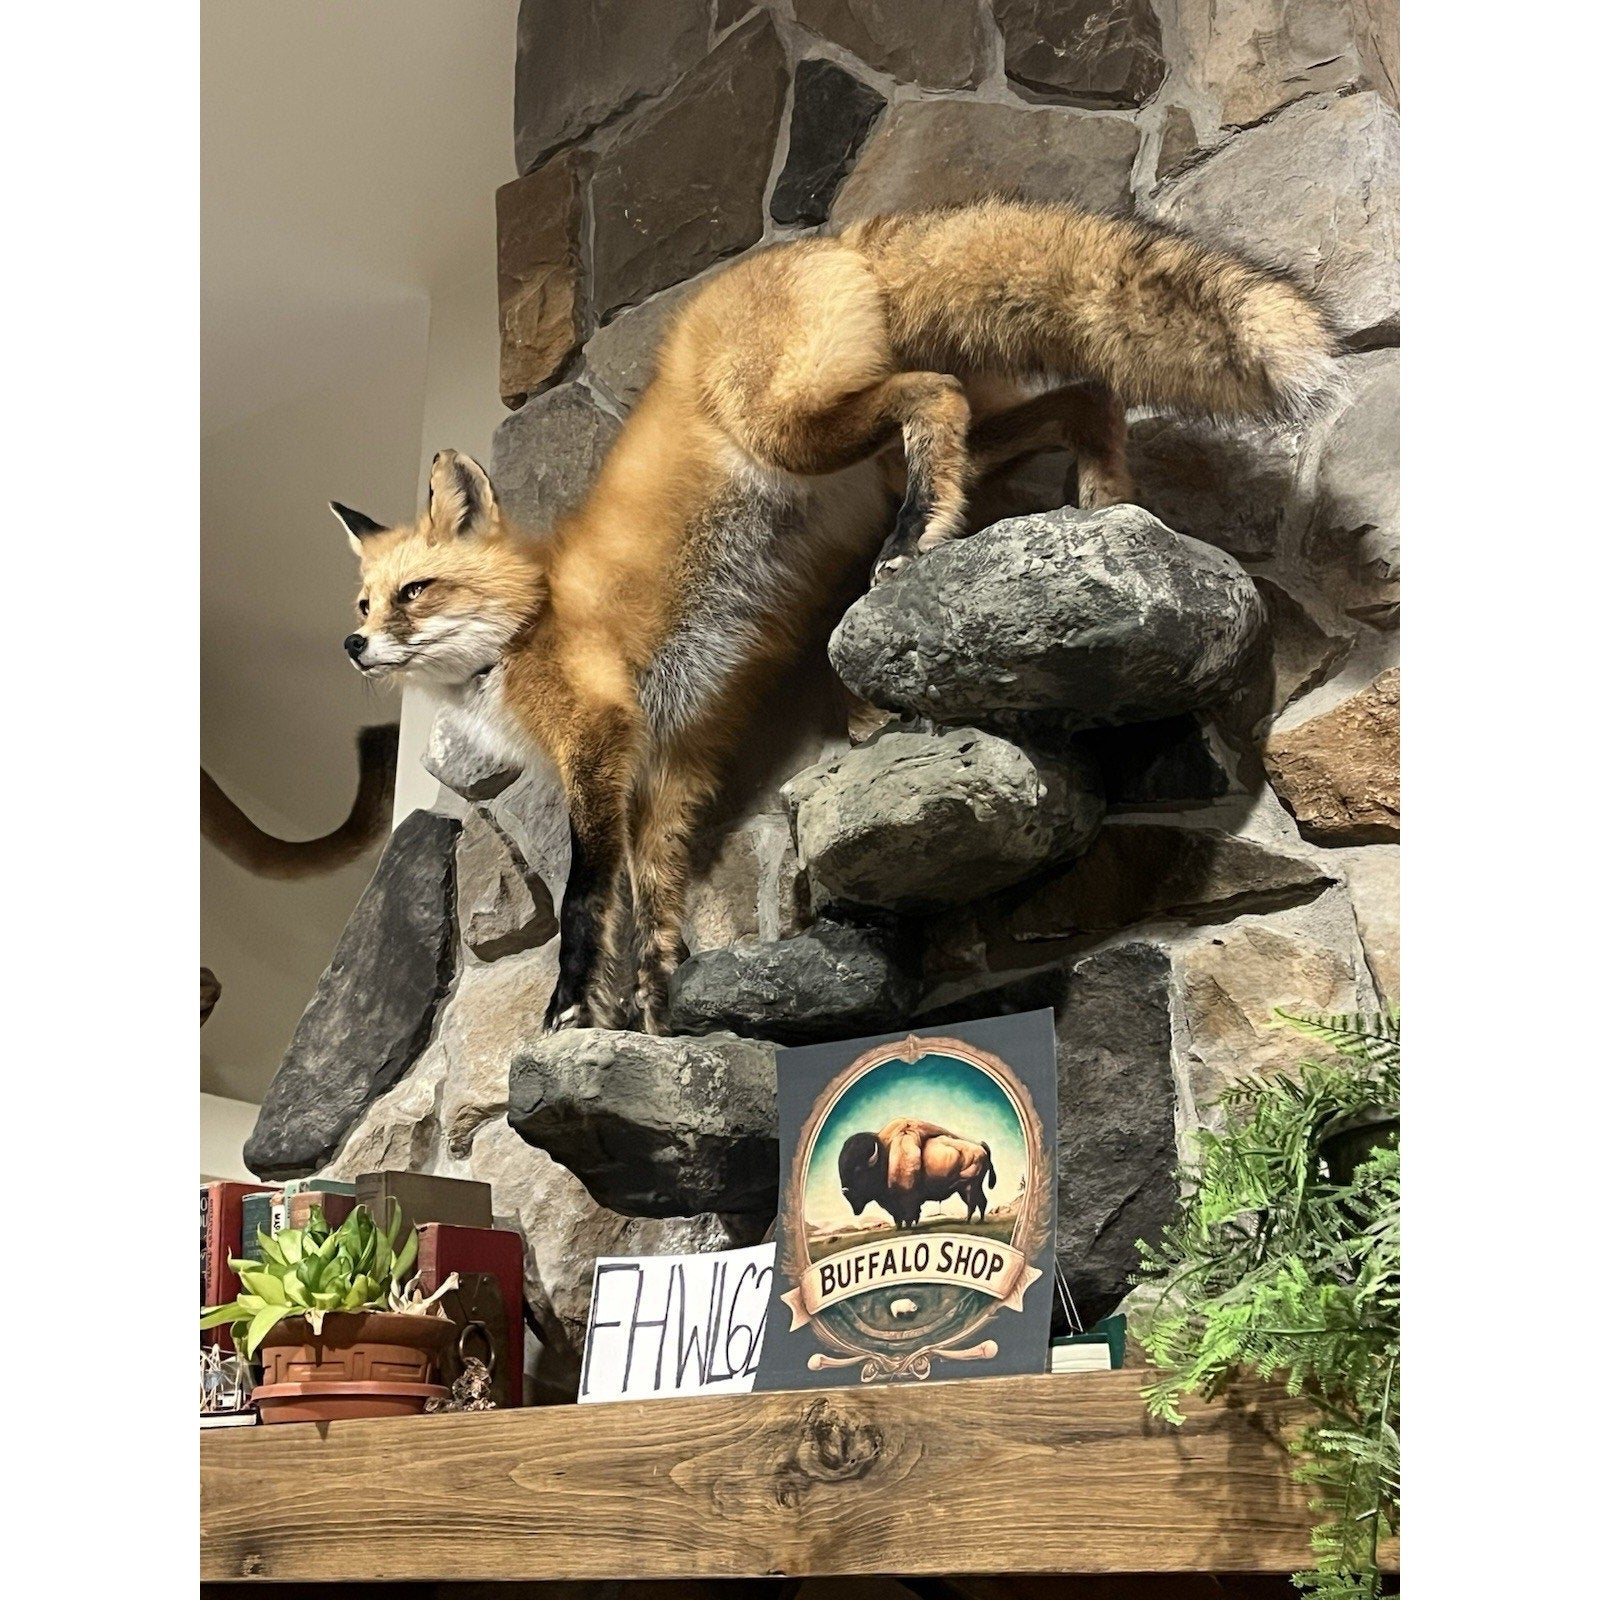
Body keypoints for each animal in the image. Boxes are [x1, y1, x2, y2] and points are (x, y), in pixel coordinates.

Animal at [332, 198, 1336, 1037]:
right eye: (364, 601)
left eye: (415, 593)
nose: (352, 644)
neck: (528, 623)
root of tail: (833, 236)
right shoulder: (671, 761)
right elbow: (653, 900)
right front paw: (655, 1007)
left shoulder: (602, 738)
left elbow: (585, 899)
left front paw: (575, 1003)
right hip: (894, 437)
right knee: (1080, 396)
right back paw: (1101, 503)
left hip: (793, 429)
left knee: (937, 393)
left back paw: (918, 534)